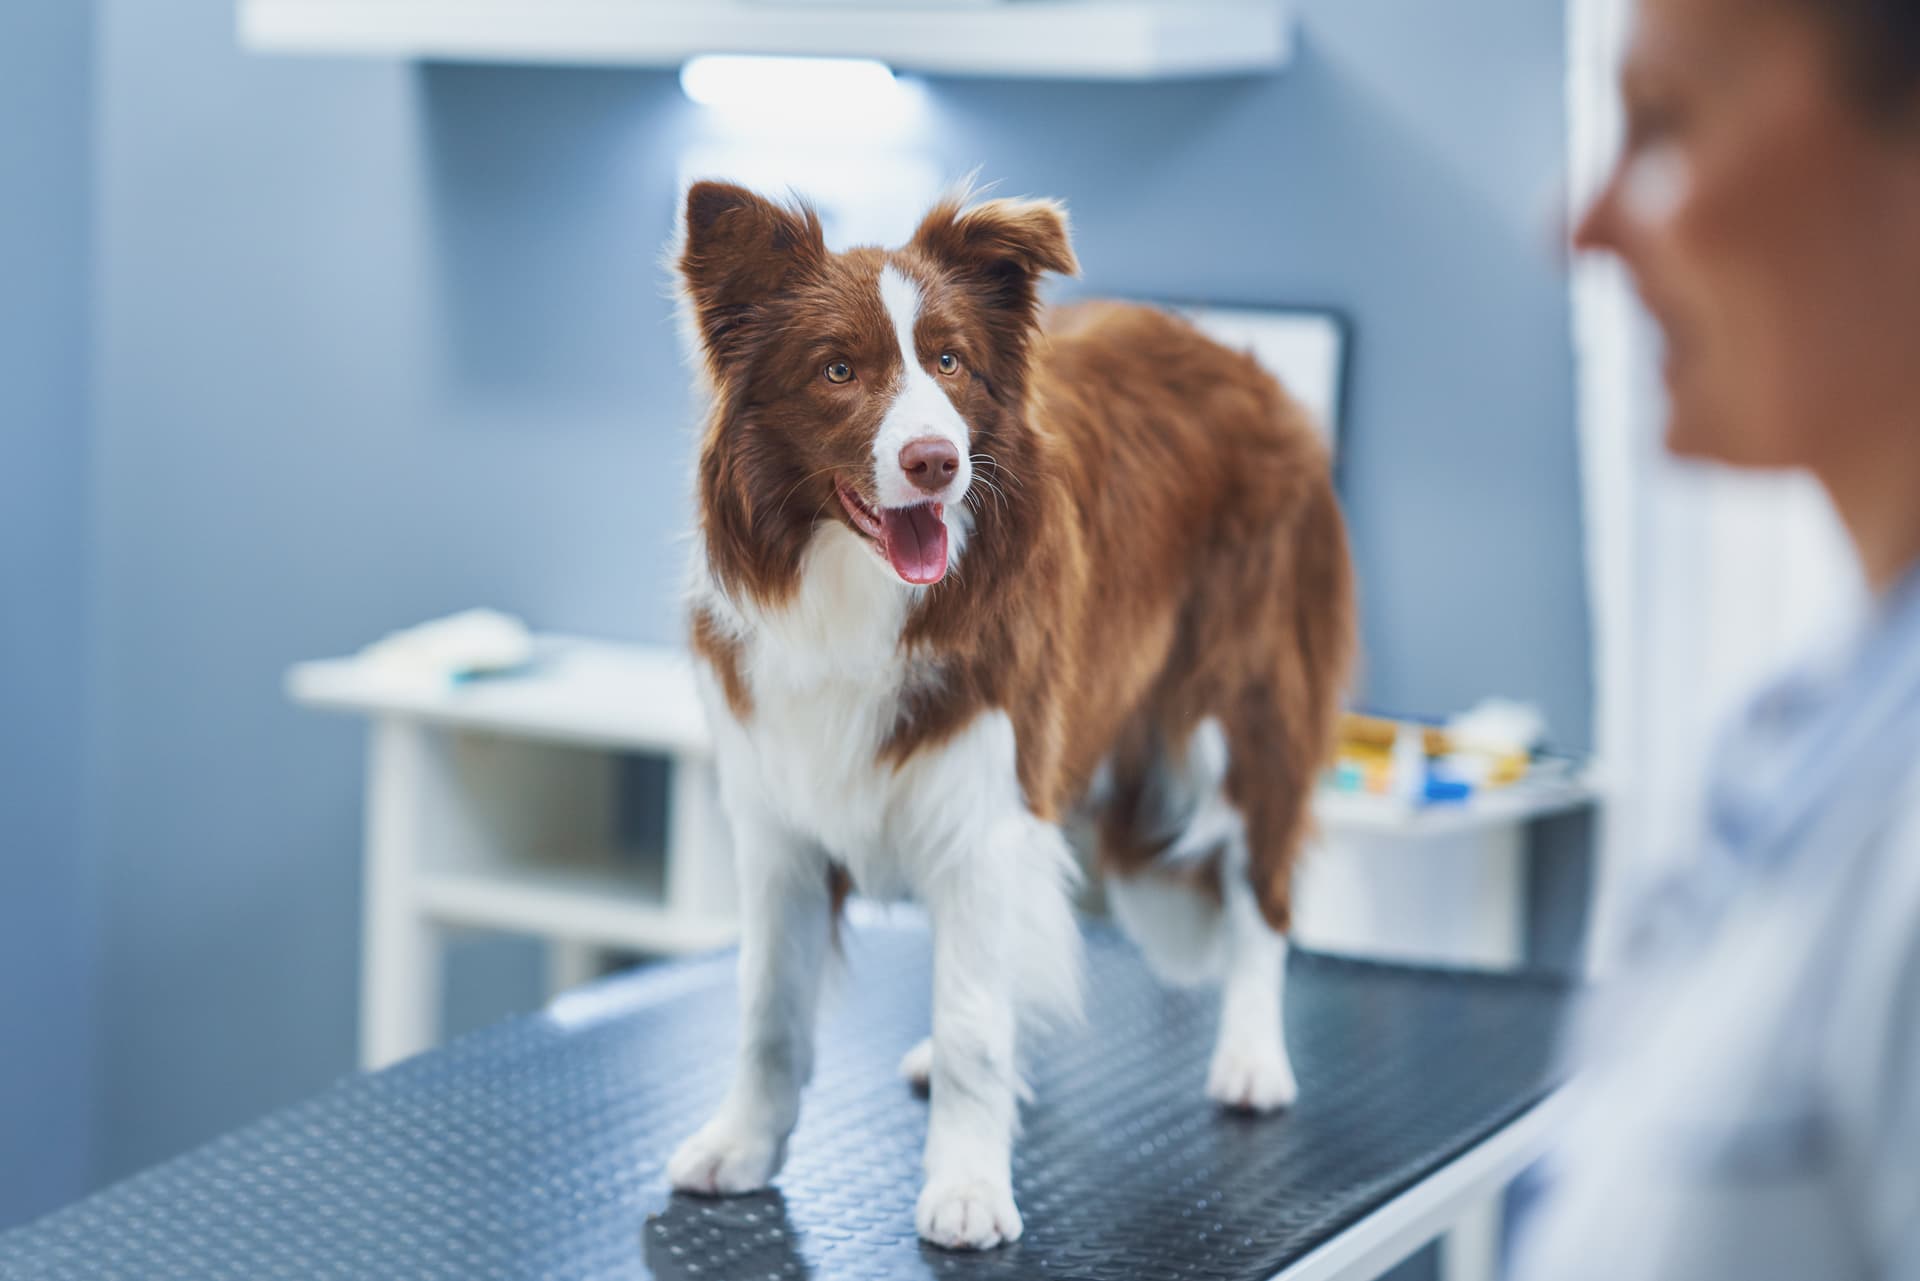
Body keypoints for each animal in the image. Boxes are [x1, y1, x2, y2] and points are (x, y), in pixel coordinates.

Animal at [668, 182, 1359, 1252]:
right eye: (837, 369)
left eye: (950, 361)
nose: (936, 461)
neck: (856, 595)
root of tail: (1248, 365)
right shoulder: (779, 818)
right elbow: (766, 1009)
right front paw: (741, 1145)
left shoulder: (986, 797)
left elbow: (972, 1028)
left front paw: (965, 1188)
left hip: (1239, 715)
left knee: (1264, 894)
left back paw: (1252, 1057)